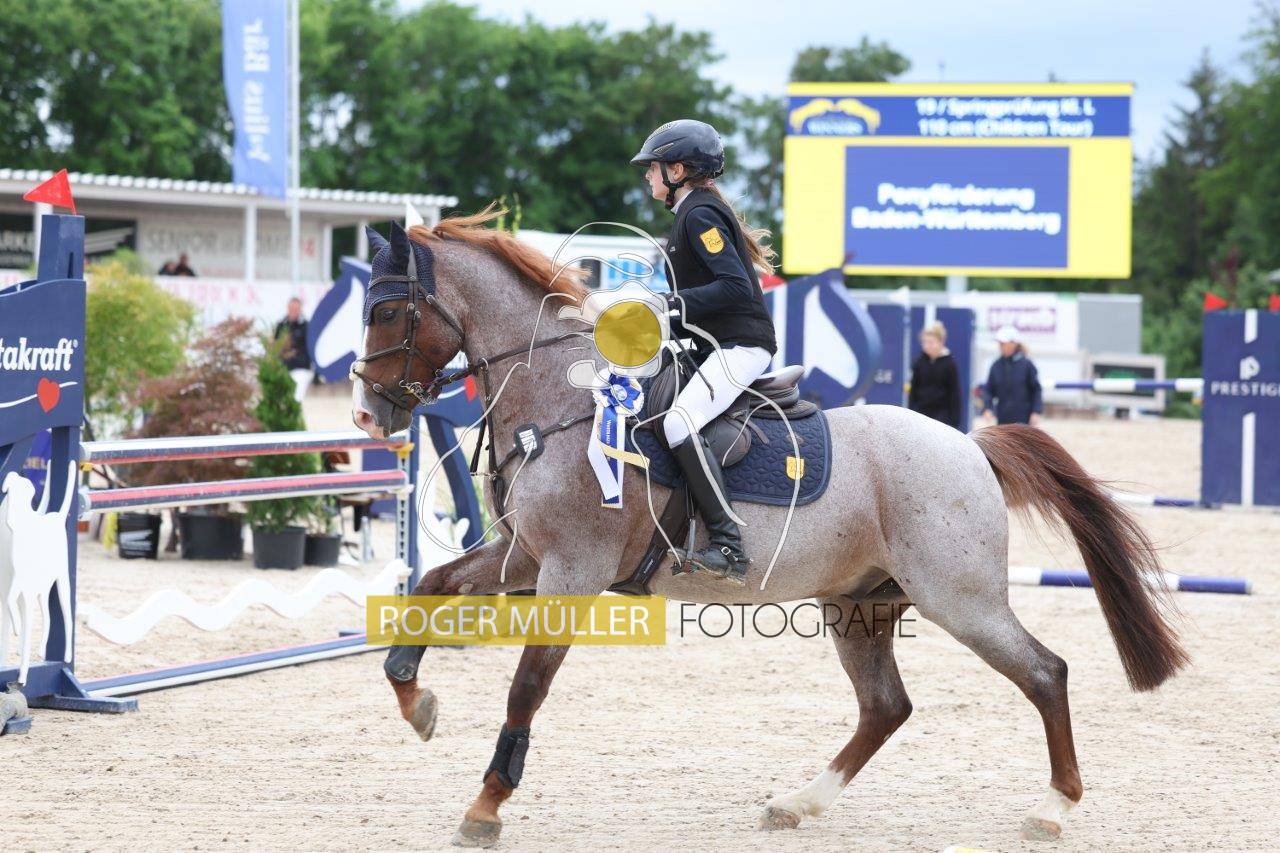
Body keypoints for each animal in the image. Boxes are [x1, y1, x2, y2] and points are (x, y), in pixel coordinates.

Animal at [351, 209, 1188, 847]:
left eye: (388, 310)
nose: (367, 414)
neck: (567, 398)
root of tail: (970, 444)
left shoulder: (570, 571)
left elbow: (527, 686)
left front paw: (485, 804)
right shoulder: (522, 554)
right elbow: (431, 584)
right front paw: (415, 699)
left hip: (961, 598)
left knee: (1045, 673)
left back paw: (1053, 808)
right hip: (860, 603)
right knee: (886, 706)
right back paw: (798, 801)